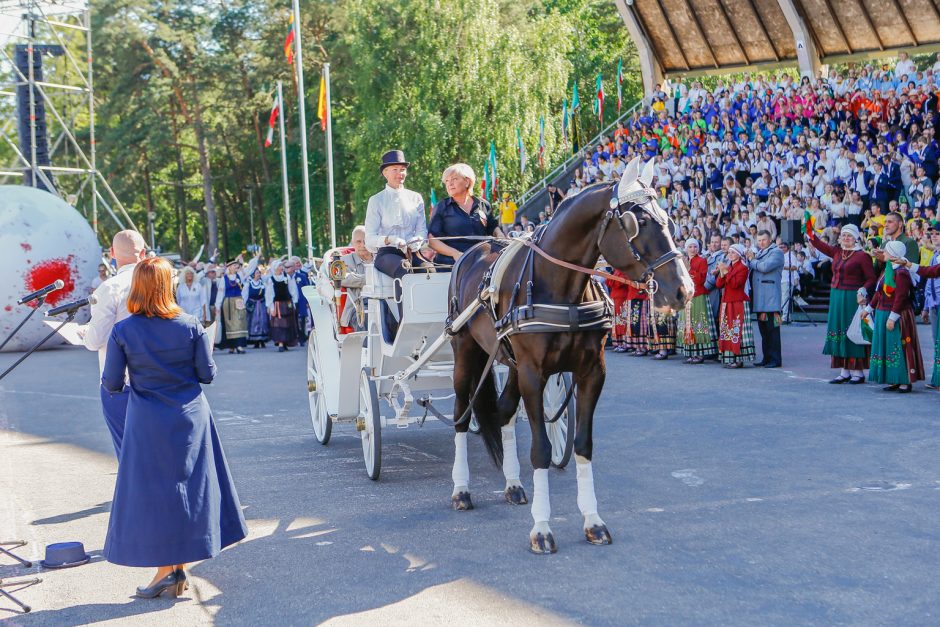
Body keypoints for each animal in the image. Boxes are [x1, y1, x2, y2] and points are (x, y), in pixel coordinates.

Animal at [444, 157, 692, 556]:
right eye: (637, 223)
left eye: (668, 219)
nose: (684, 290)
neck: (560, 285)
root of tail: (471, 251)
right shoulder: (534, 374)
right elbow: (542, 450)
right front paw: (542, 528)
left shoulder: (591, 372)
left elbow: (583, 444)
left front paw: (593, 521)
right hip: (465, 353)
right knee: (461, 415)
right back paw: (461, 489)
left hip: (510, 364)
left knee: (503, 412)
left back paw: (513, 484)